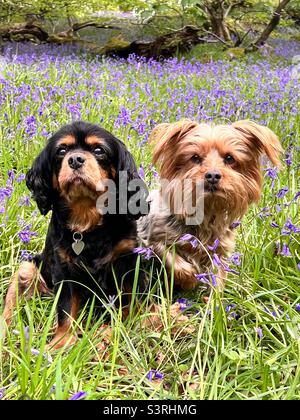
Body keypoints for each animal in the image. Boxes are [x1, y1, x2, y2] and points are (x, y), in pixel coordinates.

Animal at [2, 120, 148, 348]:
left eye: (98, 150)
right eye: (62, 151)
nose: (75, 159)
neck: (87, 220)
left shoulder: (129, 261)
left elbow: (133, 299)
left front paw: (131, 326)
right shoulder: (64, 269)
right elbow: (65, 308)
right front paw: (61, 342)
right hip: (28, 269)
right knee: (10, 306)